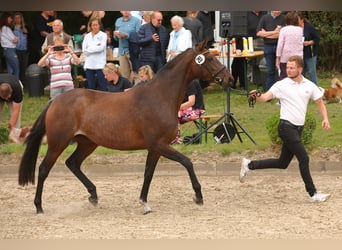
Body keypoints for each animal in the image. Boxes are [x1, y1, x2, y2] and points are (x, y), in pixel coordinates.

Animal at [19, 40, 232, 214]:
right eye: (210, 58)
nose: (229, 79)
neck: (161, 96)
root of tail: (55, 101)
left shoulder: (155, 148)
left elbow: (148, 174)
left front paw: (144, 203)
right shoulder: (160, 145)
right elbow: (187, 162)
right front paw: (198, 196)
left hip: (87, 143)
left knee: (72, 163)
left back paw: (93, 196)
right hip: (58, 143)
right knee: (44, 169)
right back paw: (38, 206)